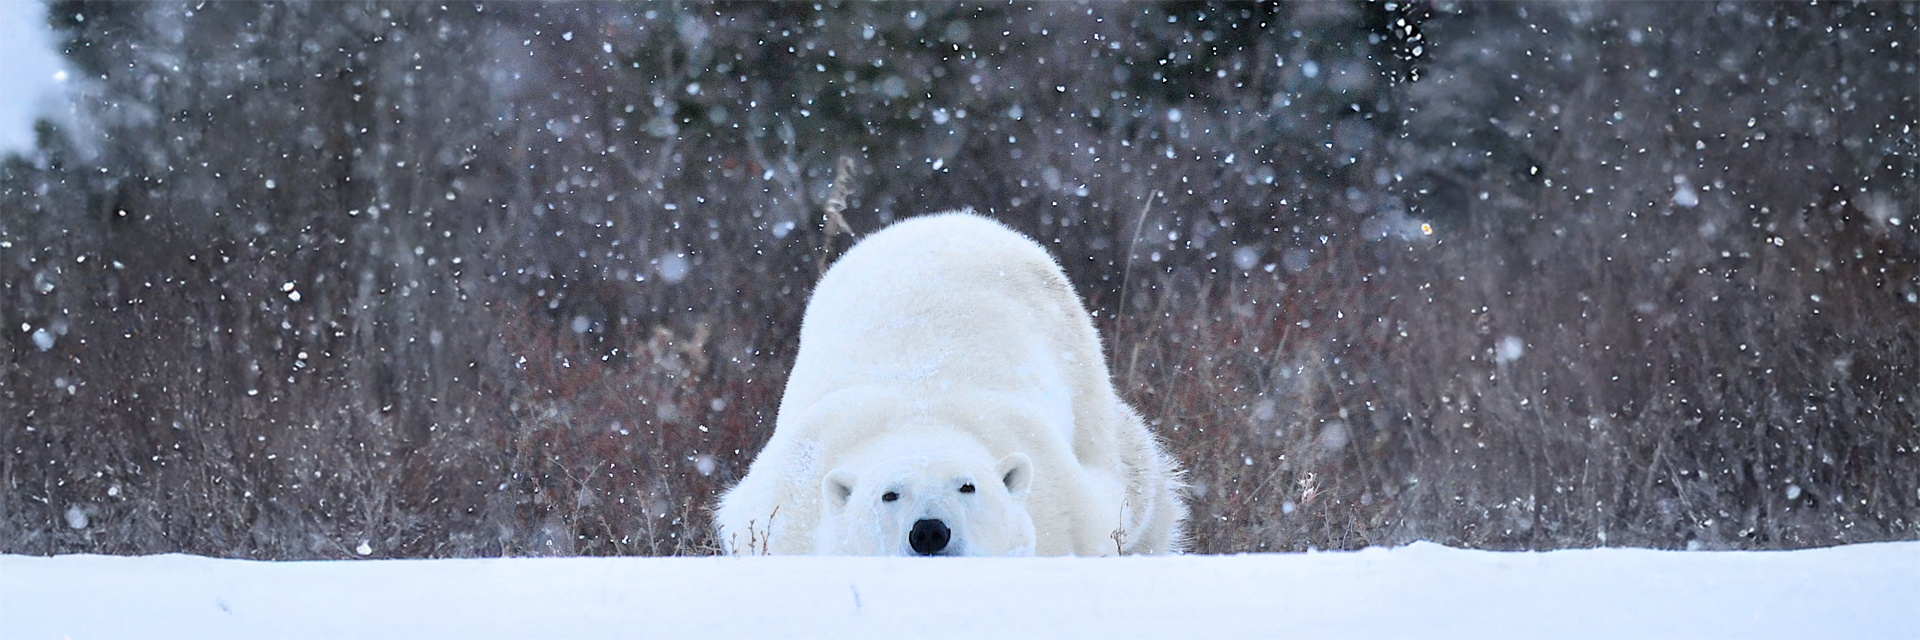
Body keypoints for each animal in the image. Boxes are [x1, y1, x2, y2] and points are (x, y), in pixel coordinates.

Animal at [714, 209, 1175, 553]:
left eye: (967, 487)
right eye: (890, 494)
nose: (930, 531)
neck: (922, 415)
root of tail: (952, 218)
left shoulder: (1057, 500)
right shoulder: (788, 506)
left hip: (1085, 379)